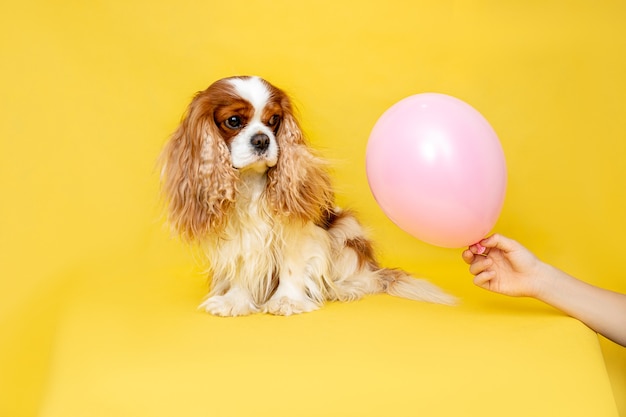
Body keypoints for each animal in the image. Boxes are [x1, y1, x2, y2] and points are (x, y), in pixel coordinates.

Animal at [161, 75, 454, 316]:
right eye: (233, 121)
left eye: (273, 120)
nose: (262, 140)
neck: (251, 181)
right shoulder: (241, 233)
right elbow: (245, 267)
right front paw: (235, 301)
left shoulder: (299, 231)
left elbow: (293, 265)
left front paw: (287, 301)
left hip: (346, 230)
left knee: (367, 279)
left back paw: (344, 288)